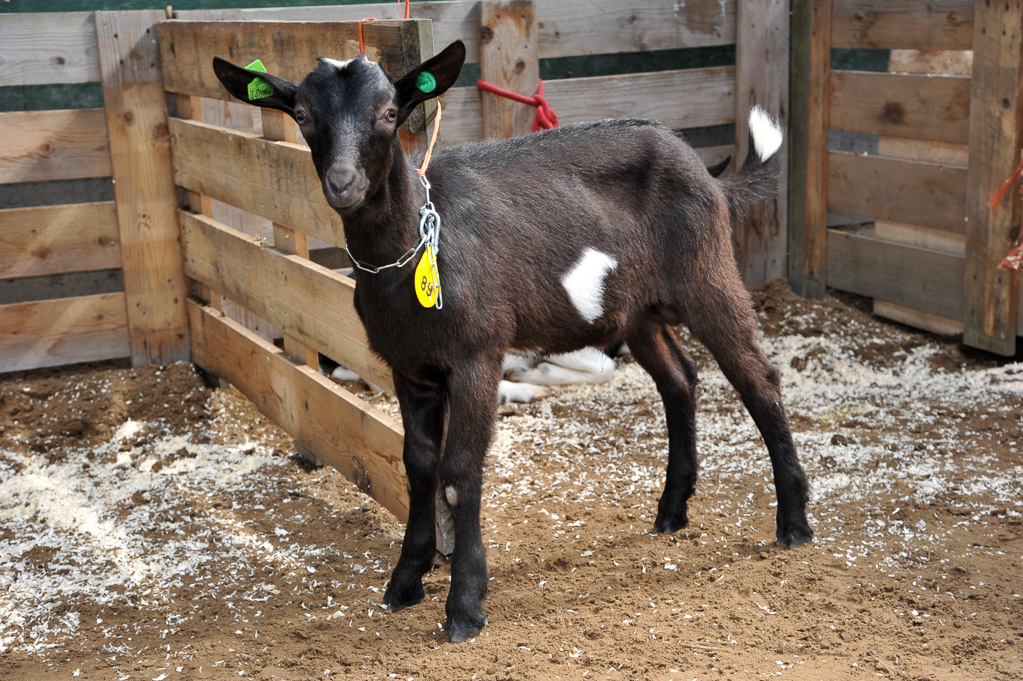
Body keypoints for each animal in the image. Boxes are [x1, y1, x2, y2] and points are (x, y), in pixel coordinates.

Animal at [211, 39, 810, 638]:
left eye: (389, 112)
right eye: (303, 115)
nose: (342, 183)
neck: (415, 243)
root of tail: (711, 177)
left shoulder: (477, 353)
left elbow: (458, 471)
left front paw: (465, 606)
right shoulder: (409, 368)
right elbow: (418, 467)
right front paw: (406, 581)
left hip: (706, 271)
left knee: (758, 378)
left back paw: (794, 522)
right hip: (635, 312)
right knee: (679, 380)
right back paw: (671, 511)